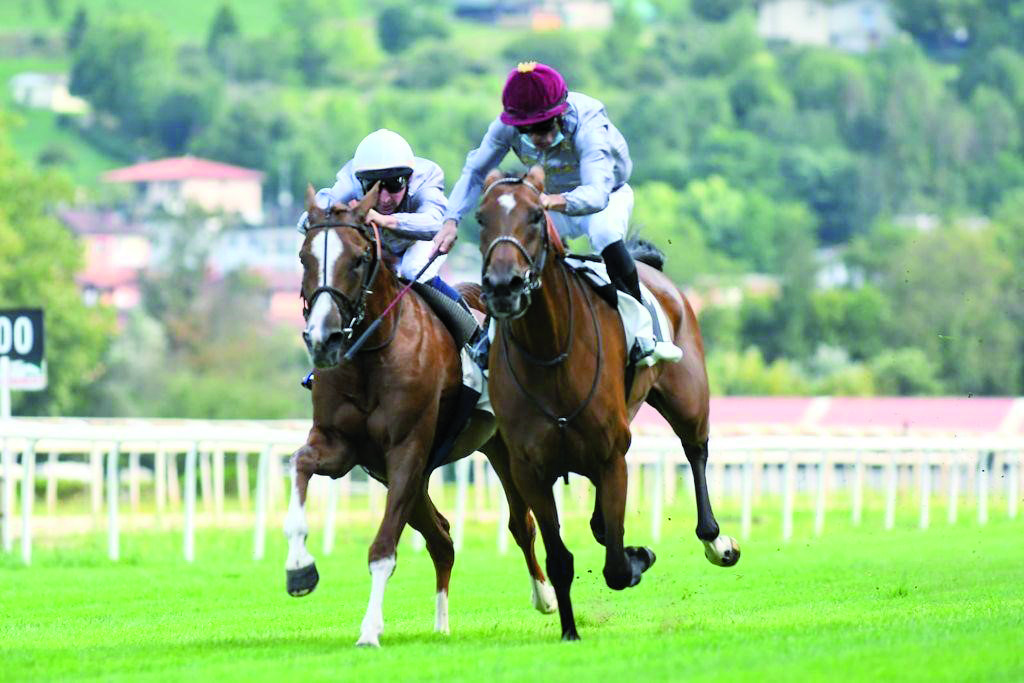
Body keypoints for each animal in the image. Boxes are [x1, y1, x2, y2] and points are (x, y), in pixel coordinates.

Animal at [284, 185, 557, 647]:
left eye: (357, 258)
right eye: (305, 257)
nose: (324, 338)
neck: (371, 355)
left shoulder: (406, 448)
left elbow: (383, 549)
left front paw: (369, 630)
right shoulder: (344, 448)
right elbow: (300, 465)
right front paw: (299, 568)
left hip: (500, 448)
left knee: (521, 524)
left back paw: (545, 596)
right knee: (442, 538)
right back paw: (442, 623)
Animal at [475, 165, 741, 643]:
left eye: (536, 217)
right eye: (481, 219)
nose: (504, 286)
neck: (550, 353)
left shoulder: (612, 456)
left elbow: (616, 567)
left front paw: (639, 557)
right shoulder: (529, 469)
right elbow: (561, 558)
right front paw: (569, 631)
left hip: (688, 399)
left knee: (696, 451)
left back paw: (716, 540)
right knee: (600, 523)